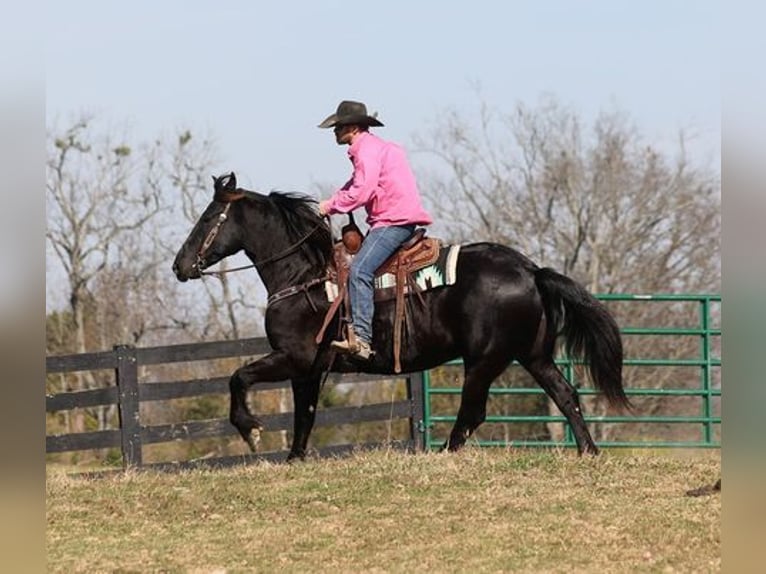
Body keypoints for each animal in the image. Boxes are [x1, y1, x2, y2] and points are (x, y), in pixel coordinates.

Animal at [174, 173, 632, 462]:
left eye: (208, 218)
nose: (180, 265)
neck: (304, 277)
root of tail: (530, 270)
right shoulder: (310, 369)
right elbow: (305, 415)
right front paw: (294, 458)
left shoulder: (294, 358)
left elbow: (239, 377)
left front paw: (250, 429)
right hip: (532, 355)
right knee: (565, 395)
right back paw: (588, 452)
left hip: (484, 360)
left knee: (473, 411)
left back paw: (445, 454)